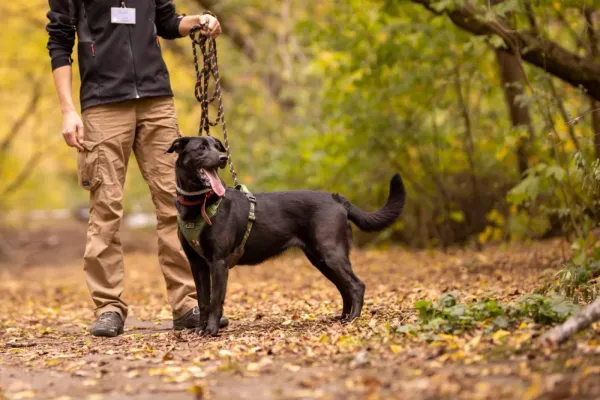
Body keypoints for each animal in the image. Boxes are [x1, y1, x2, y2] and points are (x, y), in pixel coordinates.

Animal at [166, 136, 406, 336]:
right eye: (201, 148)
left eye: (217, 147)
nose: (222, 158)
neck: (200, 204)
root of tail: (336, 198)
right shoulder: (197, 263)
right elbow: (203, 300)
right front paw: (199, 328)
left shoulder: (219, 262)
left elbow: (216, 300)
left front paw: (211, 330)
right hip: (320, 259)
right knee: (344, 287)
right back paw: (343, 317)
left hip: (331, 254)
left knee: (356, 285)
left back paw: (353, 319)